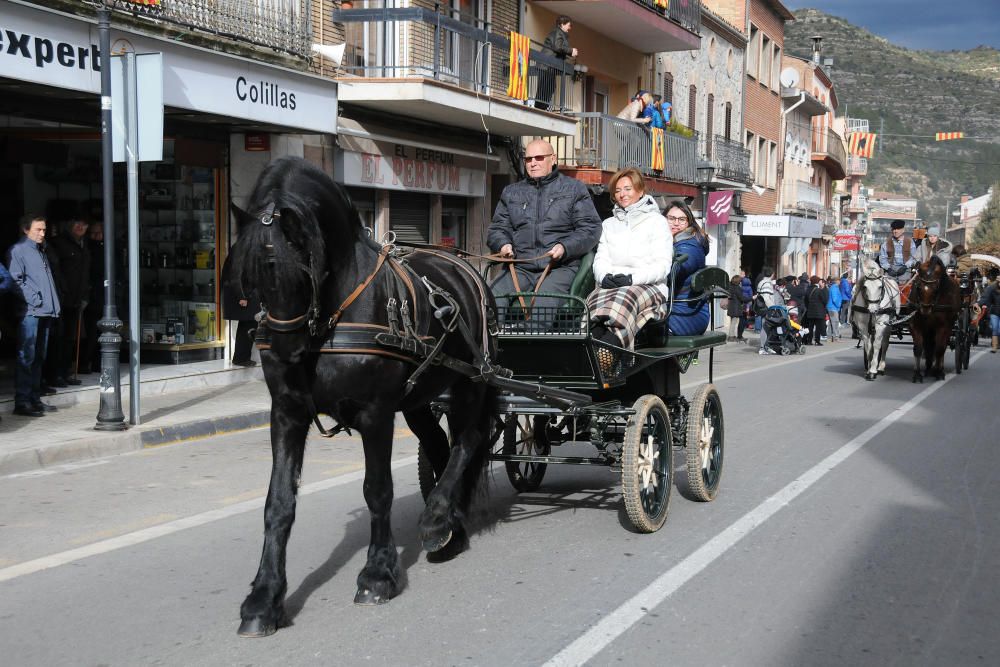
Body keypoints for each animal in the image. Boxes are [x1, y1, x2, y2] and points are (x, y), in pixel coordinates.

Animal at [229, 157, 498, 636]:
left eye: (300, 271)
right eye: (250, 276)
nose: (284, 351)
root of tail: (468, 270)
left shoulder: (376, 414)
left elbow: (378, 490)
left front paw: (378, 574)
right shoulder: (288, 413)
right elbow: (278, 503)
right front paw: (263, 598)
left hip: (471, 383)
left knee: (467, 442)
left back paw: (436, 520)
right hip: (419, 401)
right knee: (441, 448)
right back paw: (449, 527)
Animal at [908, 254, 960, 384]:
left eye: (936, 288)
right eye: (918, 287)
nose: (925, 309)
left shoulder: (944, 326)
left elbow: (940, 349)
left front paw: (939, 372)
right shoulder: (915, 324)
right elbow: (918, 348)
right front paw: (917, 374)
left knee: (940, 347)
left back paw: (936, 369)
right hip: (929, 329)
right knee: (929, 346)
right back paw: (928, 368)